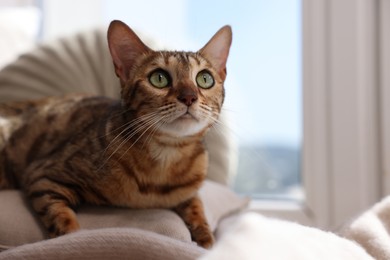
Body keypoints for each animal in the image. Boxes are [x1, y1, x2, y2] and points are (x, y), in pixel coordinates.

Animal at [0, 19, 232, 248]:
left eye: (204, 79)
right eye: (159, 78)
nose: (189, 97)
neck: (166, 157)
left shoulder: (190, 193)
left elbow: (198, 212)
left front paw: (207, 241)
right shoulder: (43, 176)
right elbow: (64, 224)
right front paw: (70, 238)